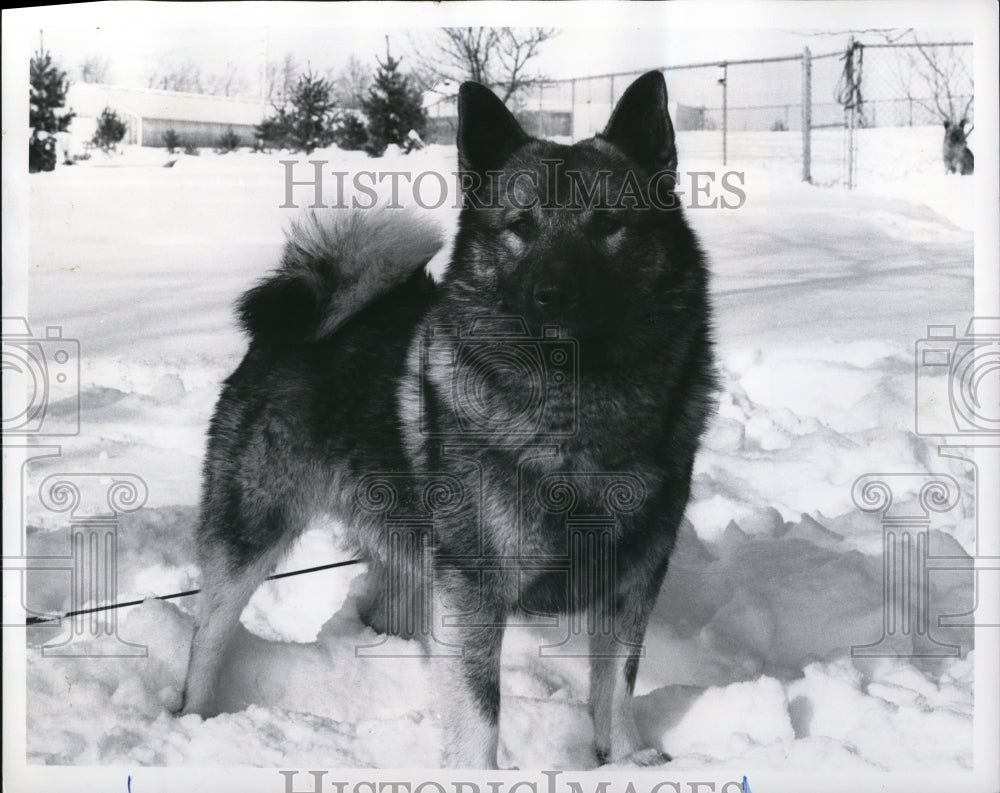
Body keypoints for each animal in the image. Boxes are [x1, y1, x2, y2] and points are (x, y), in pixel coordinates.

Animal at [178, 69, 712, 768]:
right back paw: (191, 722)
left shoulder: (634, 577)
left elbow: (616, 684)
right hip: (250, 531)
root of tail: (299, 310)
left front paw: (626, 762)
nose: (550, 295)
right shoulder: (474, 586)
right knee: (207, 638)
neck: (578, 405)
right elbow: (480, 713)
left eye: (607, 225)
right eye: (519, 225)